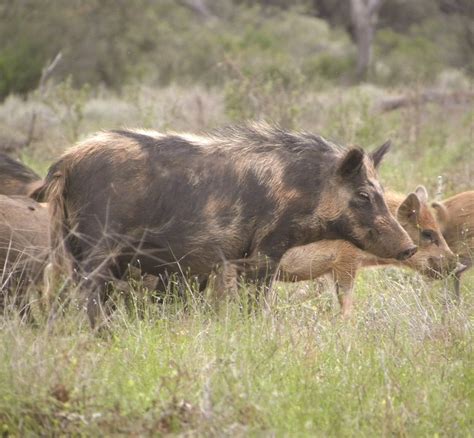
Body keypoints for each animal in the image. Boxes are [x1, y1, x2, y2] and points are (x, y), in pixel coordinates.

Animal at [33, 123, 416, 326]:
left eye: (381, 190)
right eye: (364, 194)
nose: (410, 246)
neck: (303, 187)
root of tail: (67, 161)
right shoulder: (265, 247)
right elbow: (257, 297)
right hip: (98, 245)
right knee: (88, 292)